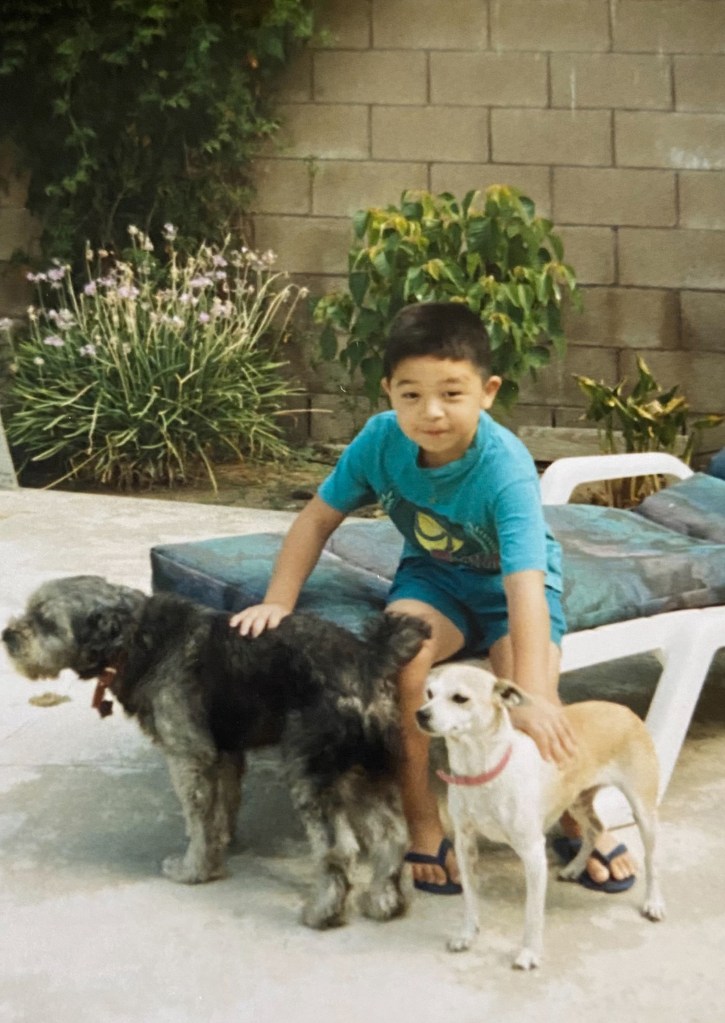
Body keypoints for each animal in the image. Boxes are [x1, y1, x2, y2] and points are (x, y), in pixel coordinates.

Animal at [1, 576, 429, 928]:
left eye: (46, 622)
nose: (7, 635)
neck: (137, 639)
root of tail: (368, 659)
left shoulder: (188, 756)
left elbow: (197, 818)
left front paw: (193, 870)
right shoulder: (224, 755)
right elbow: (220, 811)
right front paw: (217, 850)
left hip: (313, 774)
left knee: (339, 848)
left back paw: (323, 912)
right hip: (364, 770)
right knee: (393, 835)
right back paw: (384, 903)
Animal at [415, 662, 662, 965]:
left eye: (460, 698)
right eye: (429, 693)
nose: (421, 713)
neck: (483, 772)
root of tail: (624, 710)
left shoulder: (533, 853)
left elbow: (532, 913)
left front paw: (529, 953)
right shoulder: (465, 846)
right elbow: (470, 899)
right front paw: (467, 935)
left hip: (643, 811)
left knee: (651, 860)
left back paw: (654, 902)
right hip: (576, 802)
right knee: (595, 829)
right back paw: (575, 867)